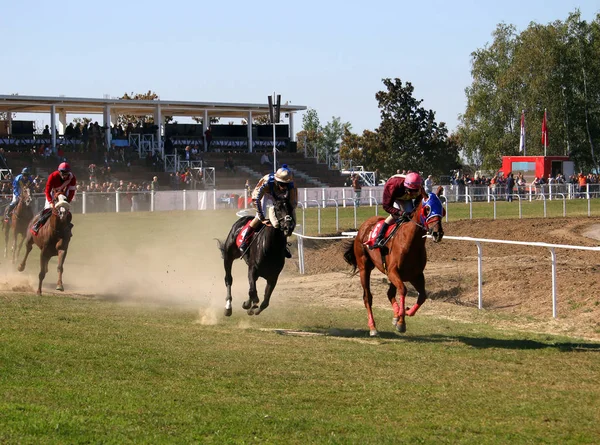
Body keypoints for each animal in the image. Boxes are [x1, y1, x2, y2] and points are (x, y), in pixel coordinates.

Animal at [342, 186, 446, 334]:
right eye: (427, 209)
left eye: (442, 209)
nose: (438, 233)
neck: (410, 242)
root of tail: (363, 228)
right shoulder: (393, 271)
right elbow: (403, 290)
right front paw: (402, 321)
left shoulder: (416, 275)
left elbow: (422, 296)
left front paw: (405, 313)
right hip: (364, 268)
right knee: (368, 297)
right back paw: (373, 327)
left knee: (390, 293)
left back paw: (396, 314)